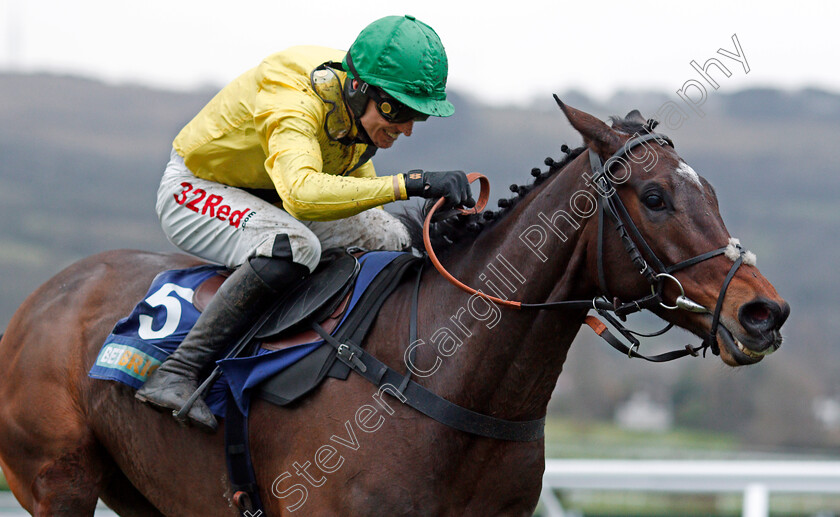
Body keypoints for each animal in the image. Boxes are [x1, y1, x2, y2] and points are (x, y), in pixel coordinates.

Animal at [0, 102, 788, 516]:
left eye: (711, 193)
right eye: (654, 197)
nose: (763, 313)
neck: (444, 377)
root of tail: (42, 297)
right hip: (57, 480)